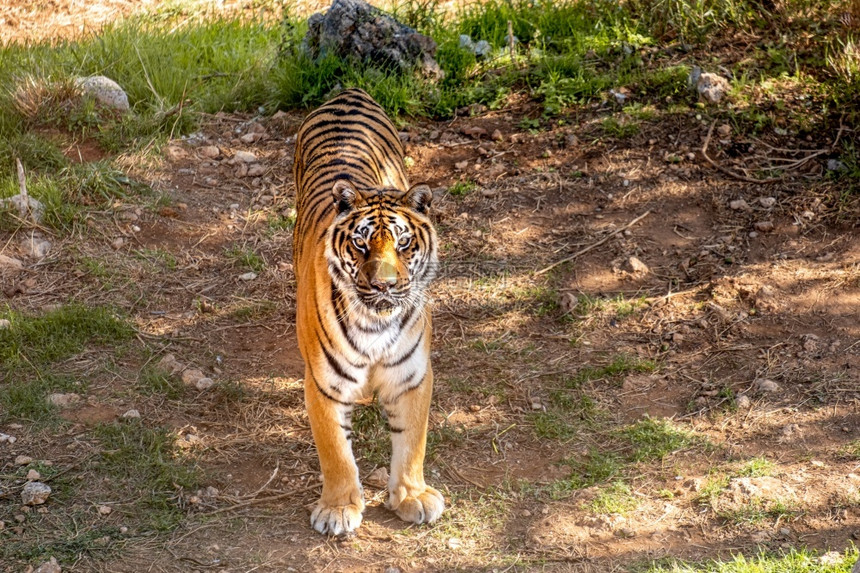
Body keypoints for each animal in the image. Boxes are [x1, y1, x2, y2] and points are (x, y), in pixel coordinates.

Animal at [292, 87, 446, 536]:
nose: (385, 285)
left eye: (404, 243)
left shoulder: (412, 376)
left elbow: (412, 440)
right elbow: (334, 451)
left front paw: (412, 496)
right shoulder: (324, 384)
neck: (377, 322)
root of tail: (349, 90)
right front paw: (338, 508)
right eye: (361, 244)